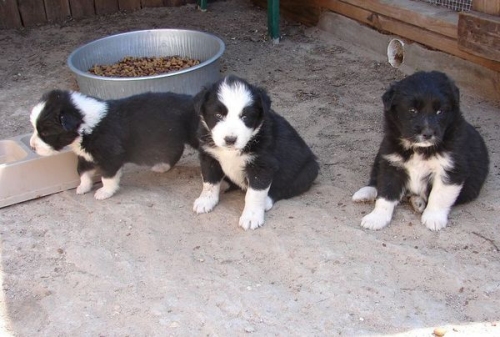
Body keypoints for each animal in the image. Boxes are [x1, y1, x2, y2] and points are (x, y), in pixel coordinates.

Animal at [29, 90, 199, 200]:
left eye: (45, 132)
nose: (32, 146)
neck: (86, 125)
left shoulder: (111, 156)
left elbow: (107, 177)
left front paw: (104, 192)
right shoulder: (85, 156)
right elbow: (82, 172)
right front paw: (83, 187)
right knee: (176, 149)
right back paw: (161, 166)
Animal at [193, 75, 318, 230]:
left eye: (245, 117)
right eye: (218, 115)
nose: (230, 140)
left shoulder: (262, 166)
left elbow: (254, 194)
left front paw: (251, 216)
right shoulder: (209, 156)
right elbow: (209, 182)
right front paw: (206, 200)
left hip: (308, 171)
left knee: (285, 188)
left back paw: (266, 202)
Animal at [352, 69, 488, 230]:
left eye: (440, 111)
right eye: (412, 110)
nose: (427, 134)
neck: (419, 149)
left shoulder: (451, 169)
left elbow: (439, 195)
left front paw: (433, 218)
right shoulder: (392, 163)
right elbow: (385, 194)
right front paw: (377, 218)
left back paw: (418, 202)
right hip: (381, 154)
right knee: (375, 178)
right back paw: (365, 192)